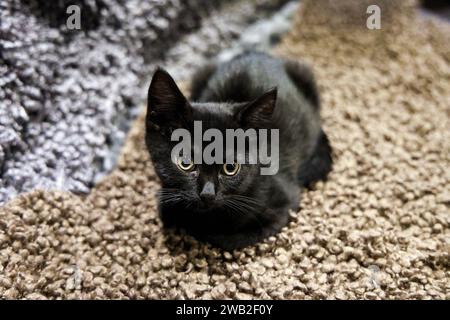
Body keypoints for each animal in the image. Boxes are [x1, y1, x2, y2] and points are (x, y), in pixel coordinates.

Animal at [146, 51, 332, 250]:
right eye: (185, 163)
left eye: (230, 168)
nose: (207, 193)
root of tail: (257, 53)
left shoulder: (284, 205)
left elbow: (225, 238)